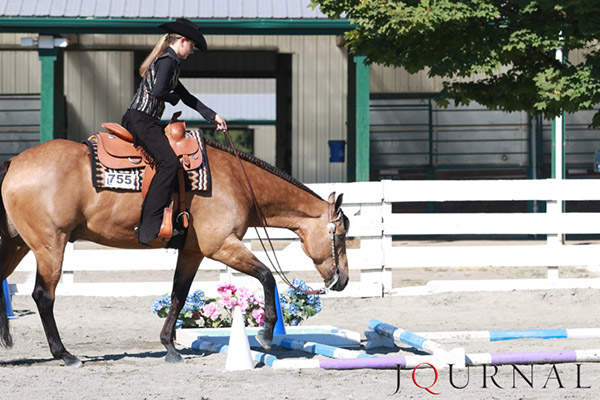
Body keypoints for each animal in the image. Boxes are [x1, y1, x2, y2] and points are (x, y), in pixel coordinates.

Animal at [0, 137, 350, 366]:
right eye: (342, 235)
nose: (343, 280)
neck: (237, 181)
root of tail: (14, 162)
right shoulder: (222, 245)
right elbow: (267, 277)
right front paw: (265, 334)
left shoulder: (193, 251)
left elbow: (178, 296)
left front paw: (170, 347)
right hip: (49, 245)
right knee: (44, 296)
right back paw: (65, 355)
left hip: (17, 245)